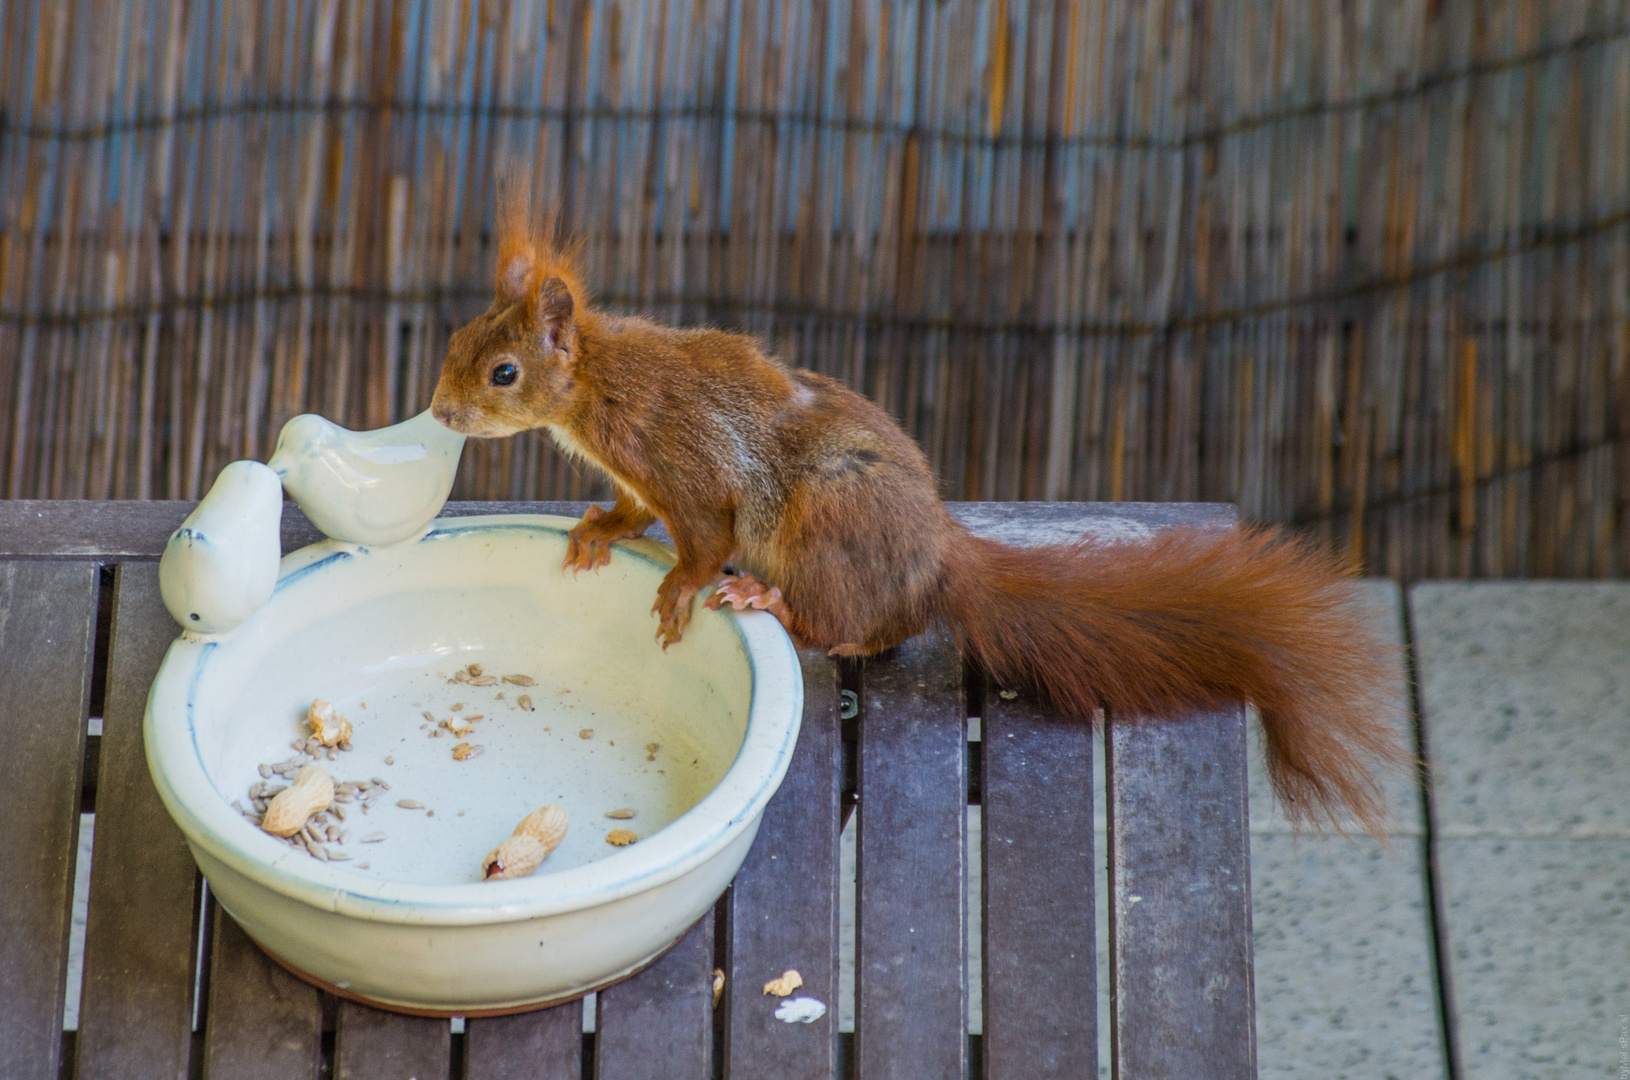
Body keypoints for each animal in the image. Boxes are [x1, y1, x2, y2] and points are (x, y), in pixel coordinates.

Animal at [430, 213, 1401, 834]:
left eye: (504, 371)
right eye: (456, 343)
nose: (440, 412)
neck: (596, 385)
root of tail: (936, 559)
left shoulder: (686, 466)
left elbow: (702, 539)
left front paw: (679, 591)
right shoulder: (640, 477)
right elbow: (634, 511)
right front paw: (597, 530)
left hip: (823, 520)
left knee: (846, 620)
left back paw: (770, 602)